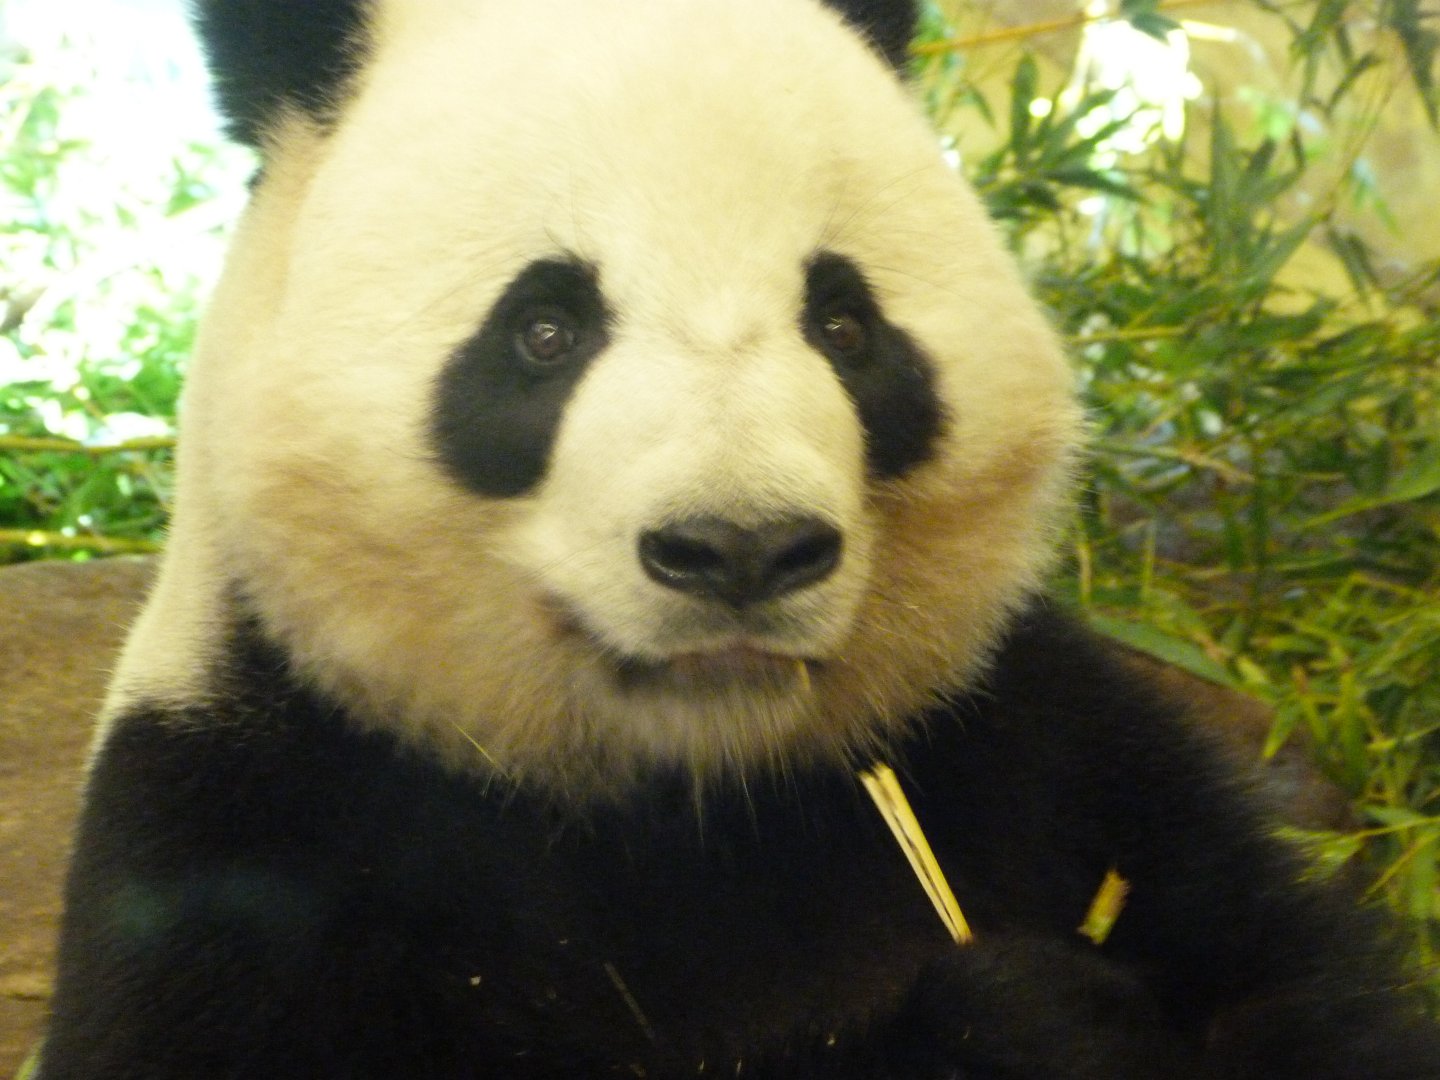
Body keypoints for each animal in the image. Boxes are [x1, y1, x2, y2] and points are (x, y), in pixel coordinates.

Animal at [39, 0, 1440, 1076]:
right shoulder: (255, 831)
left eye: (844, 323)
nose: (742, 548)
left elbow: (1287, 988)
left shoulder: (1037, 739)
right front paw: (1017, 1022)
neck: (695, 789)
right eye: (545, 328)